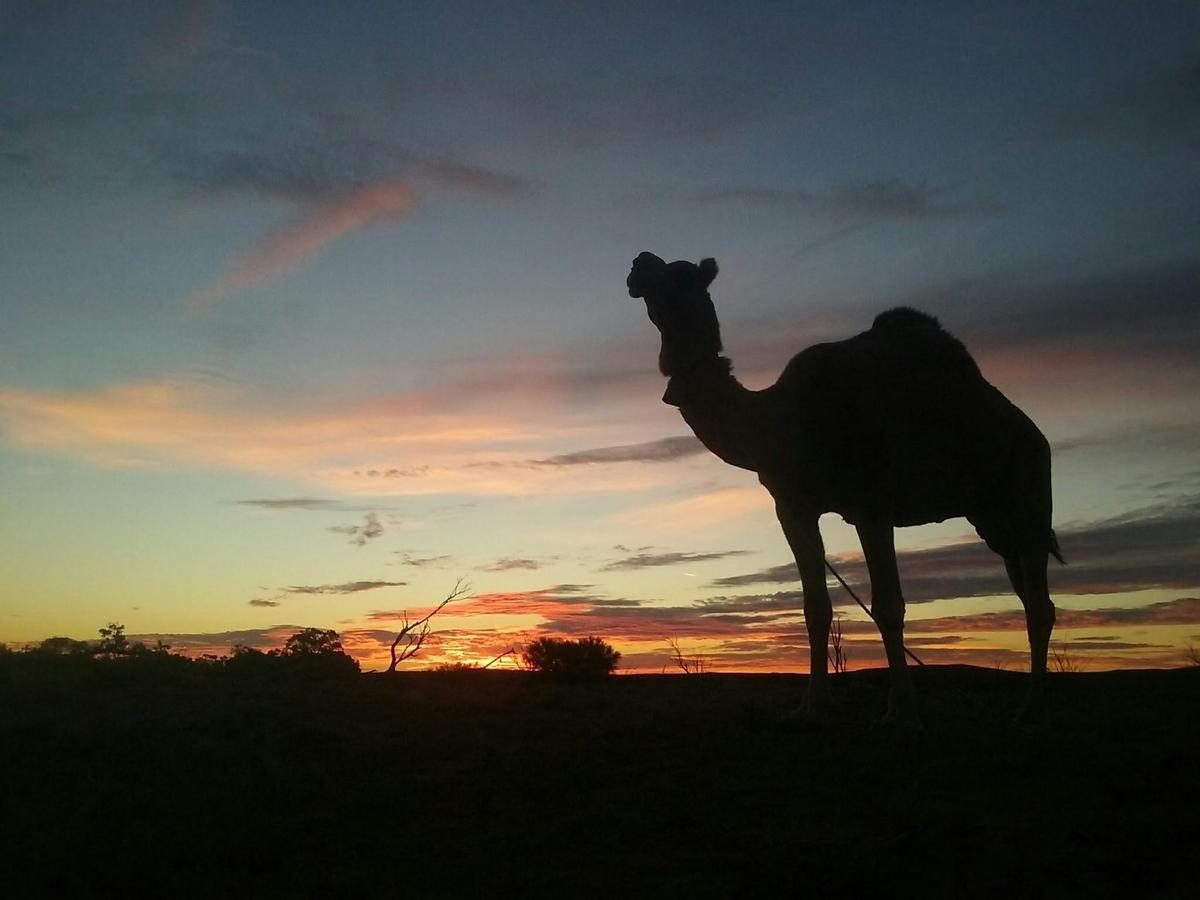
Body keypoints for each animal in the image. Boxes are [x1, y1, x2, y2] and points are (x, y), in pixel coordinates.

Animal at [627, 251, 1062, 727]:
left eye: (681, 275)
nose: (639, 263)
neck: (780, 420)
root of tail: (1033, 432)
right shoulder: (793, 507)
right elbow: (815, 609)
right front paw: (811, 707)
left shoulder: (871, 503)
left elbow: (888, 606)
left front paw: (902, 709)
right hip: (989, 516)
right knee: (1028, 591)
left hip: (1028, 484)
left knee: (1039, 600)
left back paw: (1033, 706)